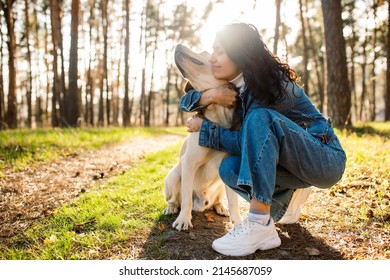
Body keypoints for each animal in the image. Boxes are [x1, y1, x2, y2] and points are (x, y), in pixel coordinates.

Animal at [163, 44, 242, 231]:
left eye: (205, 52)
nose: (178, 44)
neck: (217, 120)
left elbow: (234, 202)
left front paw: (238, 223)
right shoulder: (189, 163)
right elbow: (186, 199)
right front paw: (184, 219)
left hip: (219, 184)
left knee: (218, 200)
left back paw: (221, 207)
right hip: (173, 176)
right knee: (175, 199)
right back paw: (172, 208)